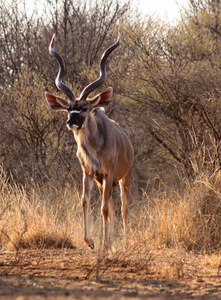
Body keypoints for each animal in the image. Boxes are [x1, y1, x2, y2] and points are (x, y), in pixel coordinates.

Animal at [45, 34, 134, 252]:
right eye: (68, 108)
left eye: (84, 107)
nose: (71, 121)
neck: (95, 148)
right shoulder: (89, 174)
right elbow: (85, 202)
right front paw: (92, 242)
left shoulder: (108, 174)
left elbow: (104, 209)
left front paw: (102, 246)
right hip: (103, 183)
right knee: (112, 207)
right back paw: (110, 242)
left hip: (124, 178)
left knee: (123, 208)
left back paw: (125, 243)